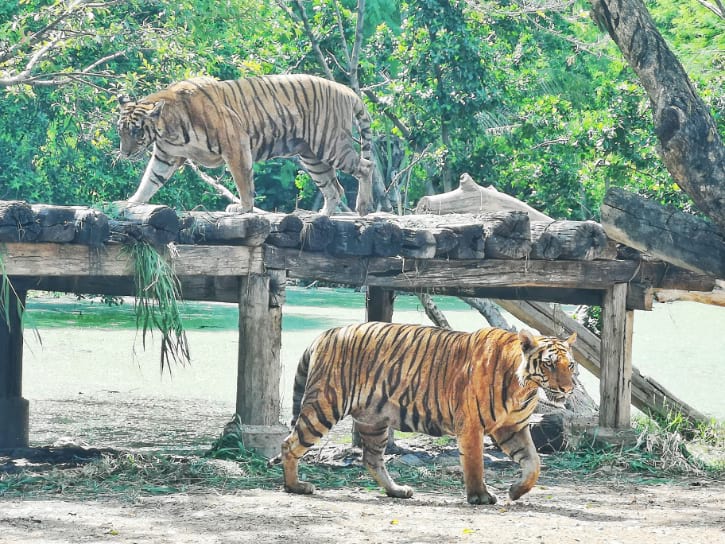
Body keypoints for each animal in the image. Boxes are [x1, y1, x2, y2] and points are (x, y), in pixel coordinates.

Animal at [117, 73, 374, 217]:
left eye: (136, 131)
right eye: (121, 131)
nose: (125, 154)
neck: (168, 130)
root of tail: (345, 89)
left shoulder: (236, 144)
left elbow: (243, 181)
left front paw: (243, 209)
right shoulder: (165, 156)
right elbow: (150, 181)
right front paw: (131, 202)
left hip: (330, 145)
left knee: (365, 166)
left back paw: (362, 208)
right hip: (312, 156)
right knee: (334, 188)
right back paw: (321, 216)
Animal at [278, 320, 576, 504]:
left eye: (570, 365)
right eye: (549, 364)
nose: (568, 388)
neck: (525, 389)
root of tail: (327, 333)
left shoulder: (512, 428)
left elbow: (533, 463)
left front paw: (515, 492)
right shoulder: (471, 425)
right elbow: (475, 463)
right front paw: (480, 496)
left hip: (374, 421)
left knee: (372, 459)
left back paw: (397, 491)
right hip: (325, 405)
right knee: (289, 444)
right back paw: (295, 487)